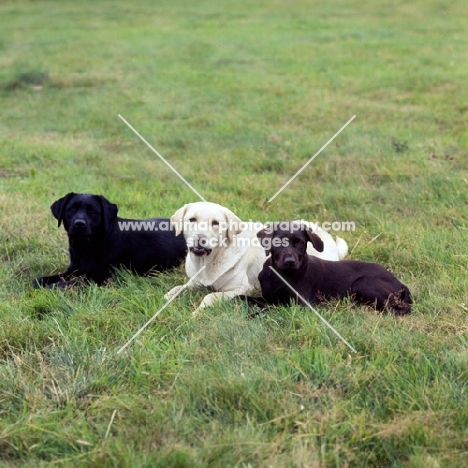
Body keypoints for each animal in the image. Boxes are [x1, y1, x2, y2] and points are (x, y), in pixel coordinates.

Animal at [32, 192, 186, 288]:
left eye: (93, 212)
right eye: (71, 209)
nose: (79, 224)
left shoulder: (102, 278)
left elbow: (72, 282)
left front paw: (53, 287)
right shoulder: (74, 269)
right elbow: (53, 277)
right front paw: (41, 281)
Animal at [165, 201, 348, 310]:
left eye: (215, 223)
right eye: (192, 219)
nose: (200, 239)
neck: (208, 262)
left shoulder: (243, 288)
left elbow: (210, 296)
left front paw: (197, 311)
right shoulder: (194, 281)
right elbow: (176, 289)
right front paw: (169, 297)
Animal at [258, 222, 412, 314]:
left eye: (299, 243)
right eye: (279, 242)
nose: (290, 262)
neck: (281, 275)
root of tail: (400, 283)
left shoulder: (301, 304)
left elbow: (271, 309)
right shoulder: (267, 298)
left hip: (362, 284)